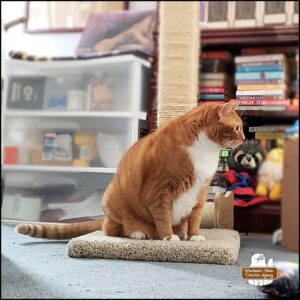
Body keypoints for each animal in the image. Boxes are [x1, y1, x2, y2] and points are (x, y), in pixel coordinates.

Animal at [15, 101, 244, 241]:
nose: (243, 139)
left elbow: (195, 218)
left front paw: (194, 235)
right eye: (237, 128)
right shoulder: (161, 191)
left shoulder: (200, 192)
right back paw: (138, 233)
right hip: (114, 203)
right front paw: (169, 237)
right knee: (113, 229)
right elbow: (163, 216)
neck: (206, 151)